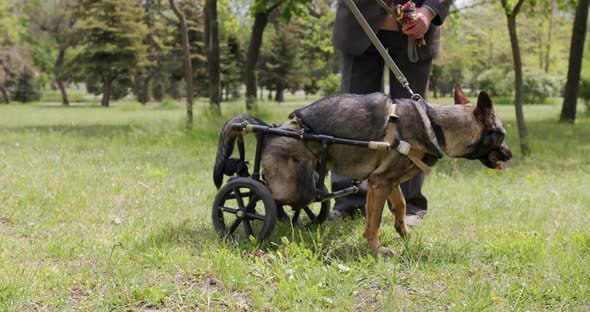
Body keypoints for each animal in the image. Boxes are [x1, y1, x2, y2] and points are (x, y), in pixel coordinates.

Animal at [214, 86, 512, 255]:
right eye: (502, 135)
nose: (509, 155)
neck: (436, 124)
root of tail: (273, 128)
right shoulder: (380, 184)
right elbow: (374, 222)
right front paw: (376, 250)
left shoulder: (388, 183)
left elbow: (401, 206)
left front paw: (405, 234)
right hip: (290, 187)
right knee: (255, 192)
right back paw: (241, 213)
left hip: (305, 184)